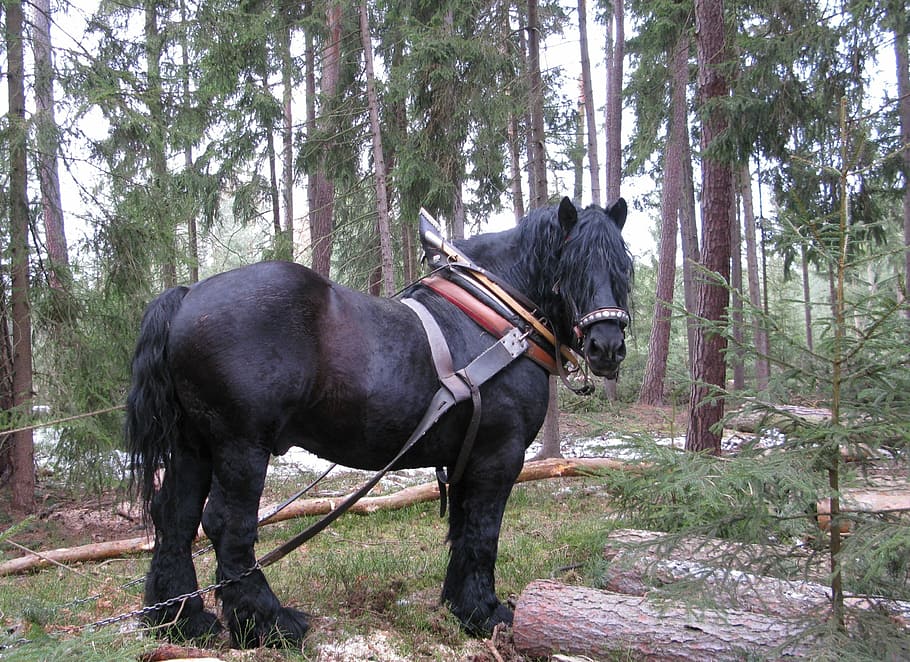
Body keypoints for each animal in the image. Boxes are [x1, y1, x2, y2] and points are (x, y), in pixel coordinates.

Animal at [126, 196, 633, 648]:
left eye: (622, 267)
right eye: (572, 264)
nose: (607, 347)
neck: (497, 317)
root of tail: (188, 295)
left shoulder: (467, 458)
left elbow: (463, 530)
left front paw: (461, 608)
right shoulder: (498, 455)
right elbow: (484, 532)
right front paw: (487, 613)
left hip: (194, 444)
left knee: (175, 518)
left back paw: (183, 621)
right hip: (240, 445)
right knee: (226, 526)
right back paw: (269, 624)